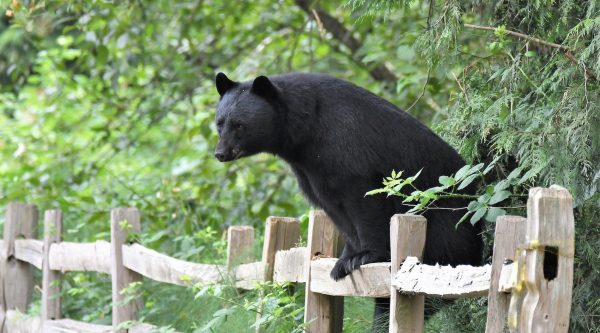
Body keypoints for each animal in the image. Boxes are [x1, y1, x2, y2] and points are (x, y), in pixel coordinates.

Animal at [214, 71, 482, 326]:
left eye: (239, 125)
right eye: (219, 123)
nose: (220, 153)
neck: (305, 132)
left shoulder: (346, 147)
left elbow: (364, 199)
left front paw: (364, 256)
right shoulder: (310, 171)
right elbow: (334, 209)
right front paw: (343, 260)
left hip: (445, 229)